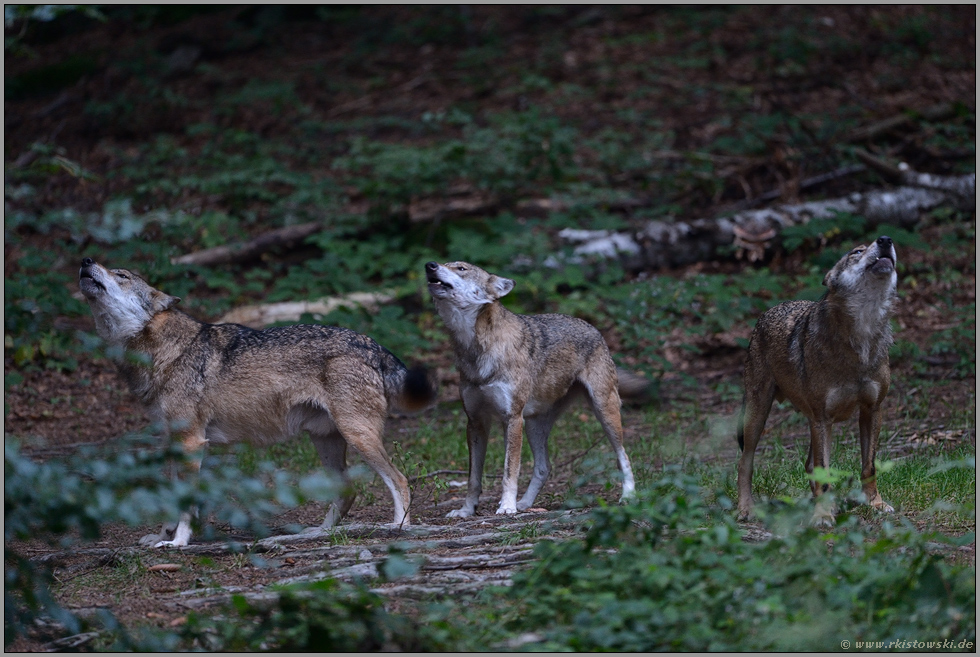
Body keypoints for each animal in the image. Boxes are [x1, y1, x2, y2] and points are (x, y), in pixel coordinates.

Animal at [78, 258, 436, 547]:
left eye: (121, 275)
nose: (86, 260)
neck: (161, 354)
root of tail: (372, 344)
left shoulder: (192, 442)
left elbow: (187, 505)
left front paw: (178, 542)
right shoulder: (171, 443)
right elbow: (172, 499)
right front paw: (161, 535)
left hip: (357, 436)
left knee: (400, 480)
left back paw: (398, 529)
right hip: (327, 442)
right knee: (348, 492)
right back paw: (320, 533)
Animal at [424, 260, 637, 517]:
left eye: (461, 268)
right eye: (444, 263)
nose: (430, 265)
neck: (475, 349)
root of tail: (593, 328)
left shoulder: (512, 419)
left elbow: (509, 471)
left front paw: (506, 506)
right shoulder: (475, 422)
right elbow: (473, 478)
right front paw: (466, 511)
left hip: (604, 412)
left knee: (623, 456)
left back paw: (628, 496)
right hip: (535, 426)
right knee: (544, 467)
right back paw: (525, 504)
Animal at [736, 236, 899, 524]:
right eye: (857, 252)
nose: (885, 240)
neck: (861, 339)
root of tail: (767, 312)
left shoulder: (872, 410)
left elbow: (869, 466)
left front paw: (875, 503)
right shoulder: (822, 418)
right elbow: (824, 473)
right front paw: (822, 516)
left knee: (810, 465)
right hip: (758, 416)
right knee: (745, 463)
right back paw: (747, 509)